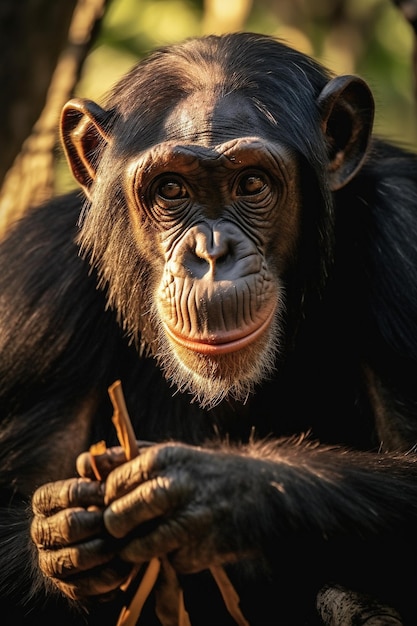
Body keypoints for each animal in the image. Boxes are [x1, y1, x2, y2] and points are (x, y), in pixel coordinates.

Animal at [0, 30, 416, 624]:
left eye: (251, 182)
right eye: (171, 189)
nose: (211, 253)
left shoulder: (406, 231)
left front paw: (215, 489)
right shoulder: (30, 296)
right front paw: (65, 536)